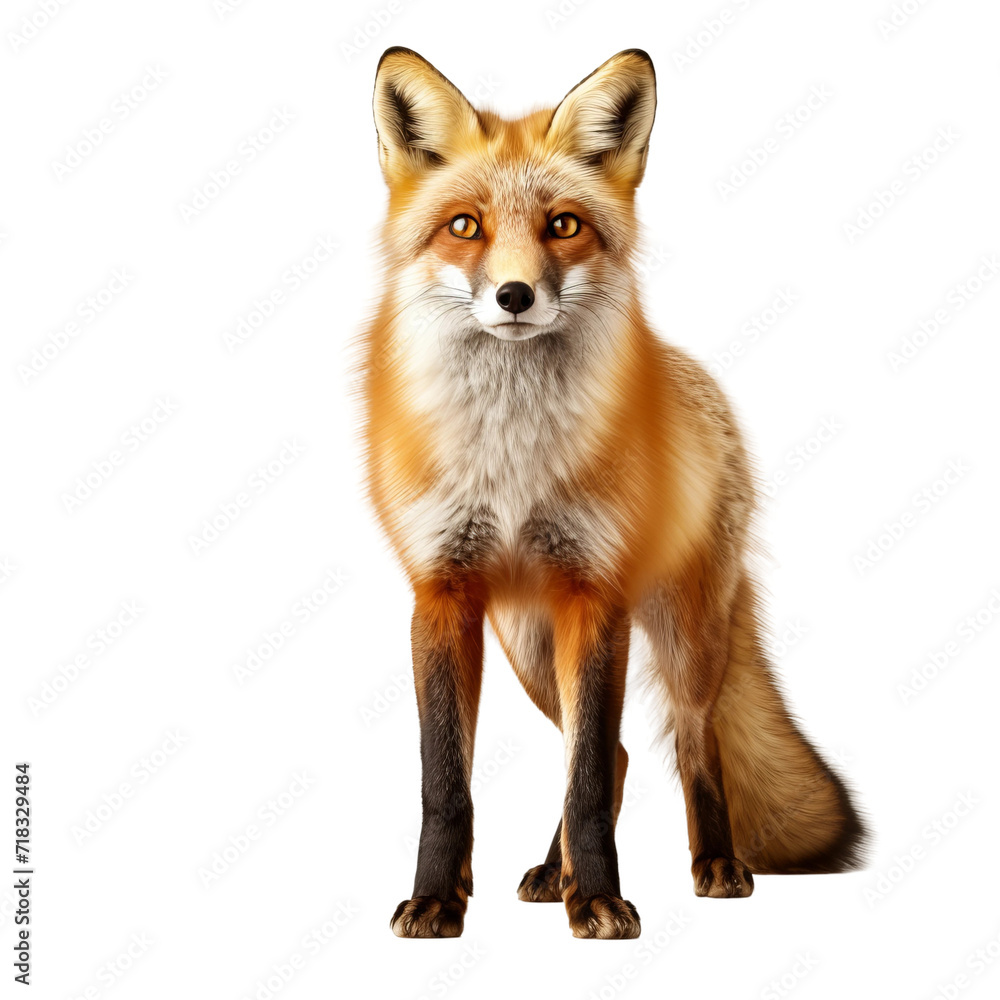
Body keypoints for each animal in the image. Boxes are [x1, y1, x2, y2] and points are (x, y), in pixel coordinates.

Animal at [357, 46, 868, 940]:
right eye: (465, 226)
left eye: (563, 225)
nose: (515, 296)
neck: (510, 456)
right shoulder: (441, 592)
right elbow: (446, 783)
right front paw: (437, 898)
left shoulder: (595, 595)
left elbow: (590, 777)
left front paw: (596, 898)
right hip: (529, 645)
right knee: (619, 752)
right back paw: (545, 871)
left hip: (680, 634)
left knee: (686, 742)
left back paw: (712, 865)